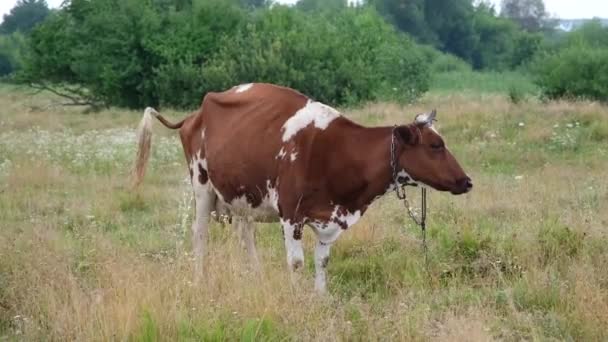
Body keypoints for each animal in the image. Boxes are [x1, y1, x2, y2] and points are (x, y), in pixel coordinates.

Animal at [133, 81, 472, 292]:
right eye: (435, 145)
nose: (467, 181)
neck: (337, 153)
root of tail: (195, 113)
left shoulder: (329, 218)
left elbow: (322, 261)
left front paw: (321, 298)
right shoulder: (290, 215)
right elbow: (296, 263)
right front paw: (297, 298)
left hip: (243, 196)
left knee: (245, 235)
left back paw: (257, 279)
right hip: (202, 185)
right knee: (200, 235)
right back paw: (200, 280)